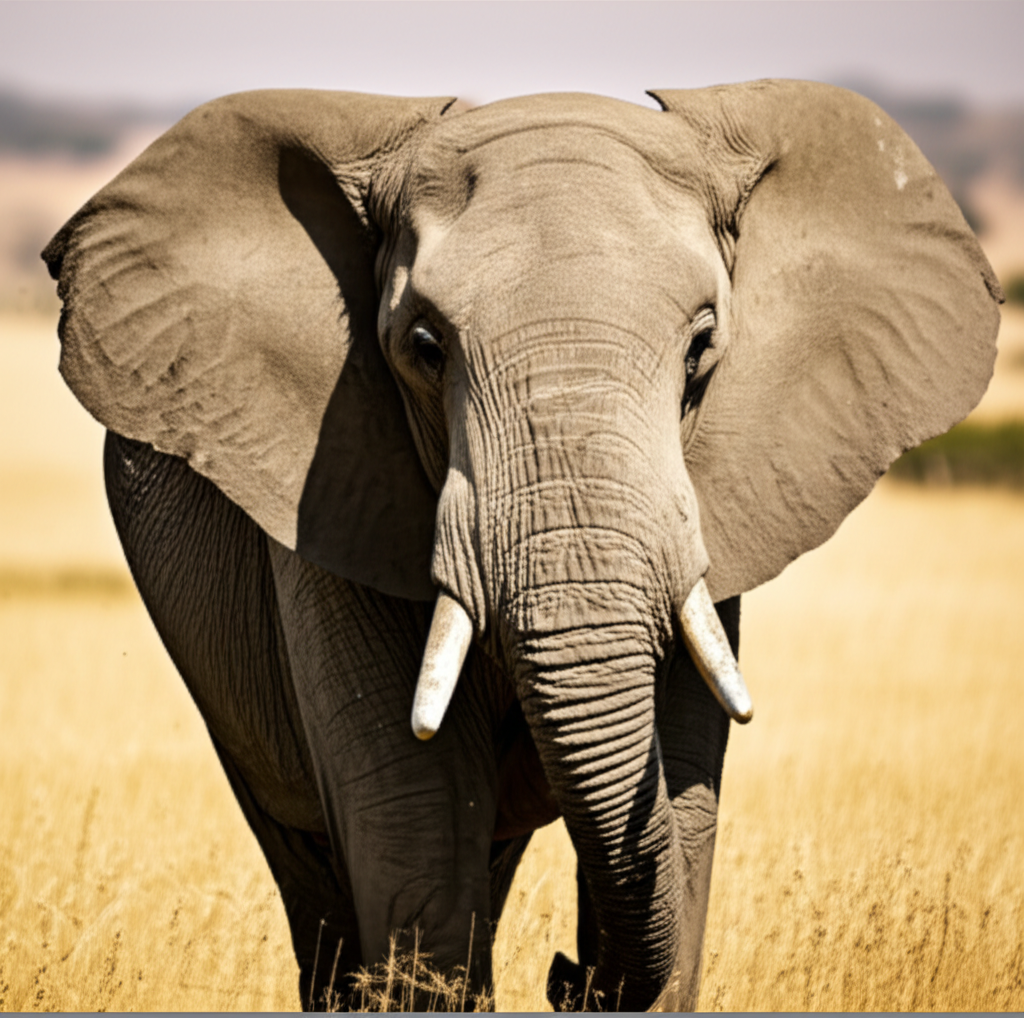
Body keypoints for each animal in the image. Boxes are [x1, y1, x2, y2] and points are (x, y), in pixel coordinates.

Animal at [43, 81, 1001, 1011]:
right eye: (424, 347)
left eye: (702, 346)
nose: (570, 972)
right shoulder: (331, 495)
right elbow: (417, 827)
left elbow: (685, 807)